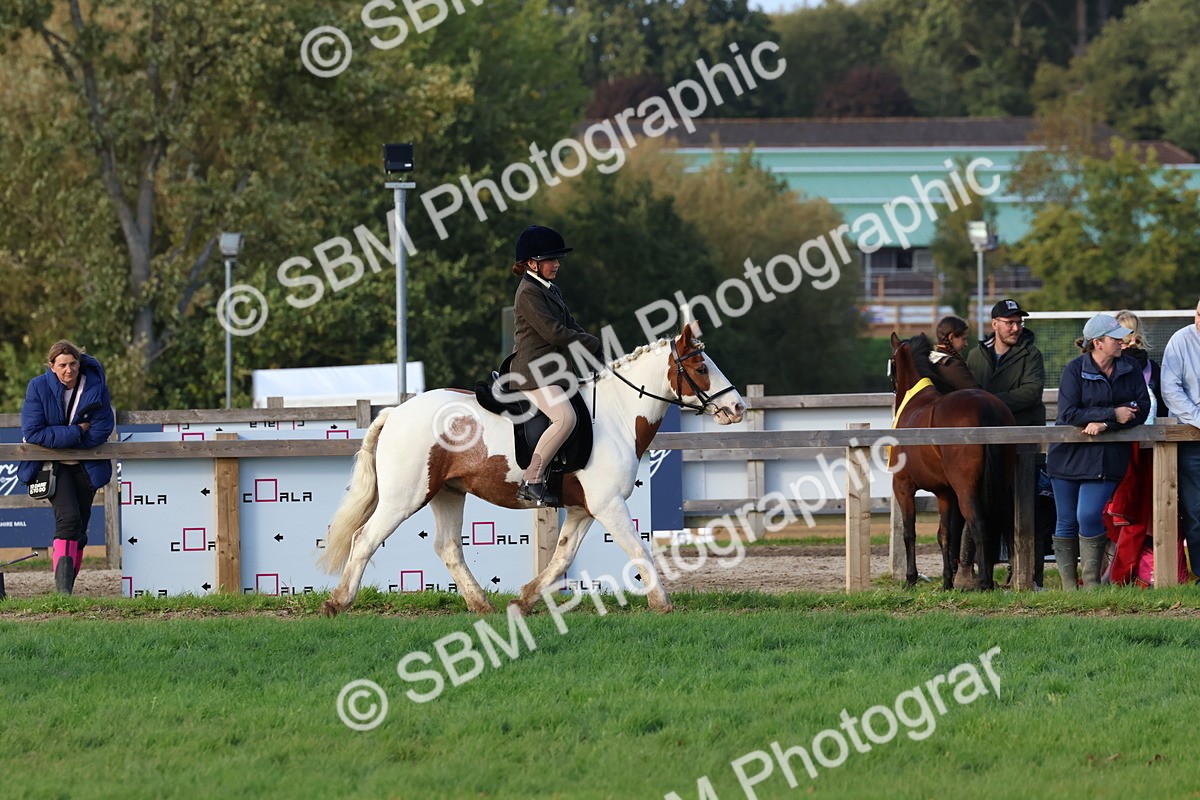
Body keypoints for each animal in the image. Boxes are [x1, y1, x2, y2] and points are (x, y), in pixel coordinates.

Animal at [318, 322, 746, 617]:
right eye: (701, 366)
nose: (738, 408)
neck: (617, 414)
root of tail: (395, 412)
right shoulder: (608, 505)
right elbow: (638, 548)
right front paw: (663, 603)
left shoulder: (583, 509)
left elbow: (562, 559)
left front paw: (523, 600)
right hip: (404, 497)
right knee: (365, 539)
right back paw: (338, 602)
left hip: (448, 493)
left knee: (448, 547)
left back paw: (481, 605)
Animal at [888, 333, 1015, 590]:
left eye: (892, 364)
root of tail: (986, 408)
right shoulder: (944, 493)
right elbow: (944, 534)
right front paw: (947, 580)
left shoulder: (903, 485)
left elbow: (909, 532)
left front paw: (910, 578)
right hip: (1000, 484)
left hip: (966, 489)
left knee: (979, 525)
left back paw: (985, 582)